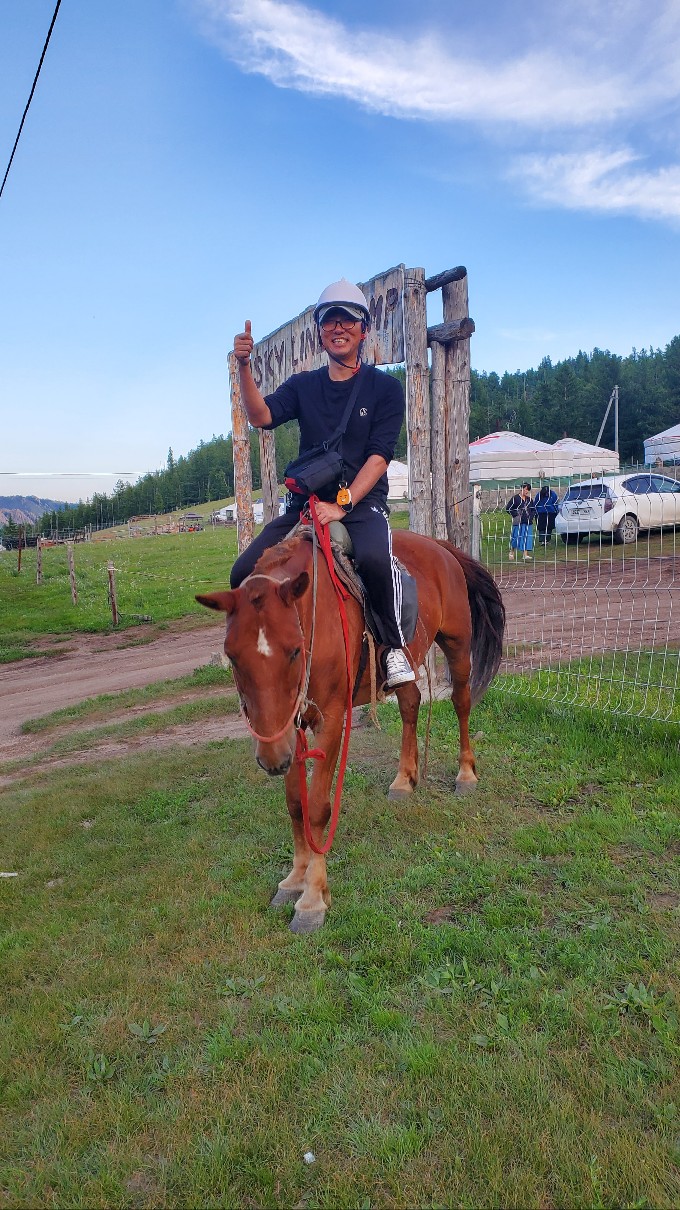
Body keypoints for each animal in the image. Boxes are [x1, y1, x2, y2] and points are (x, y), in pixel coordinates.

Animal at [196, 529, 503, 934]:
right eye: (232, 656)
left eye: (295, 651)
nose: (271, 758)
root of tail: (439, 546)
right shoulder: (291, 727)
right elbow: (295, 803)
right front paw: (294, 880)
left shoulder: (329, 718)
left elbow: (318, 808)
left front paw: (312, 899)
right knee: (410, 703)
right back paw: (404, 779)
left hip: (457, 643)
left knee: (462, 702)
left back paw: (466, 773)